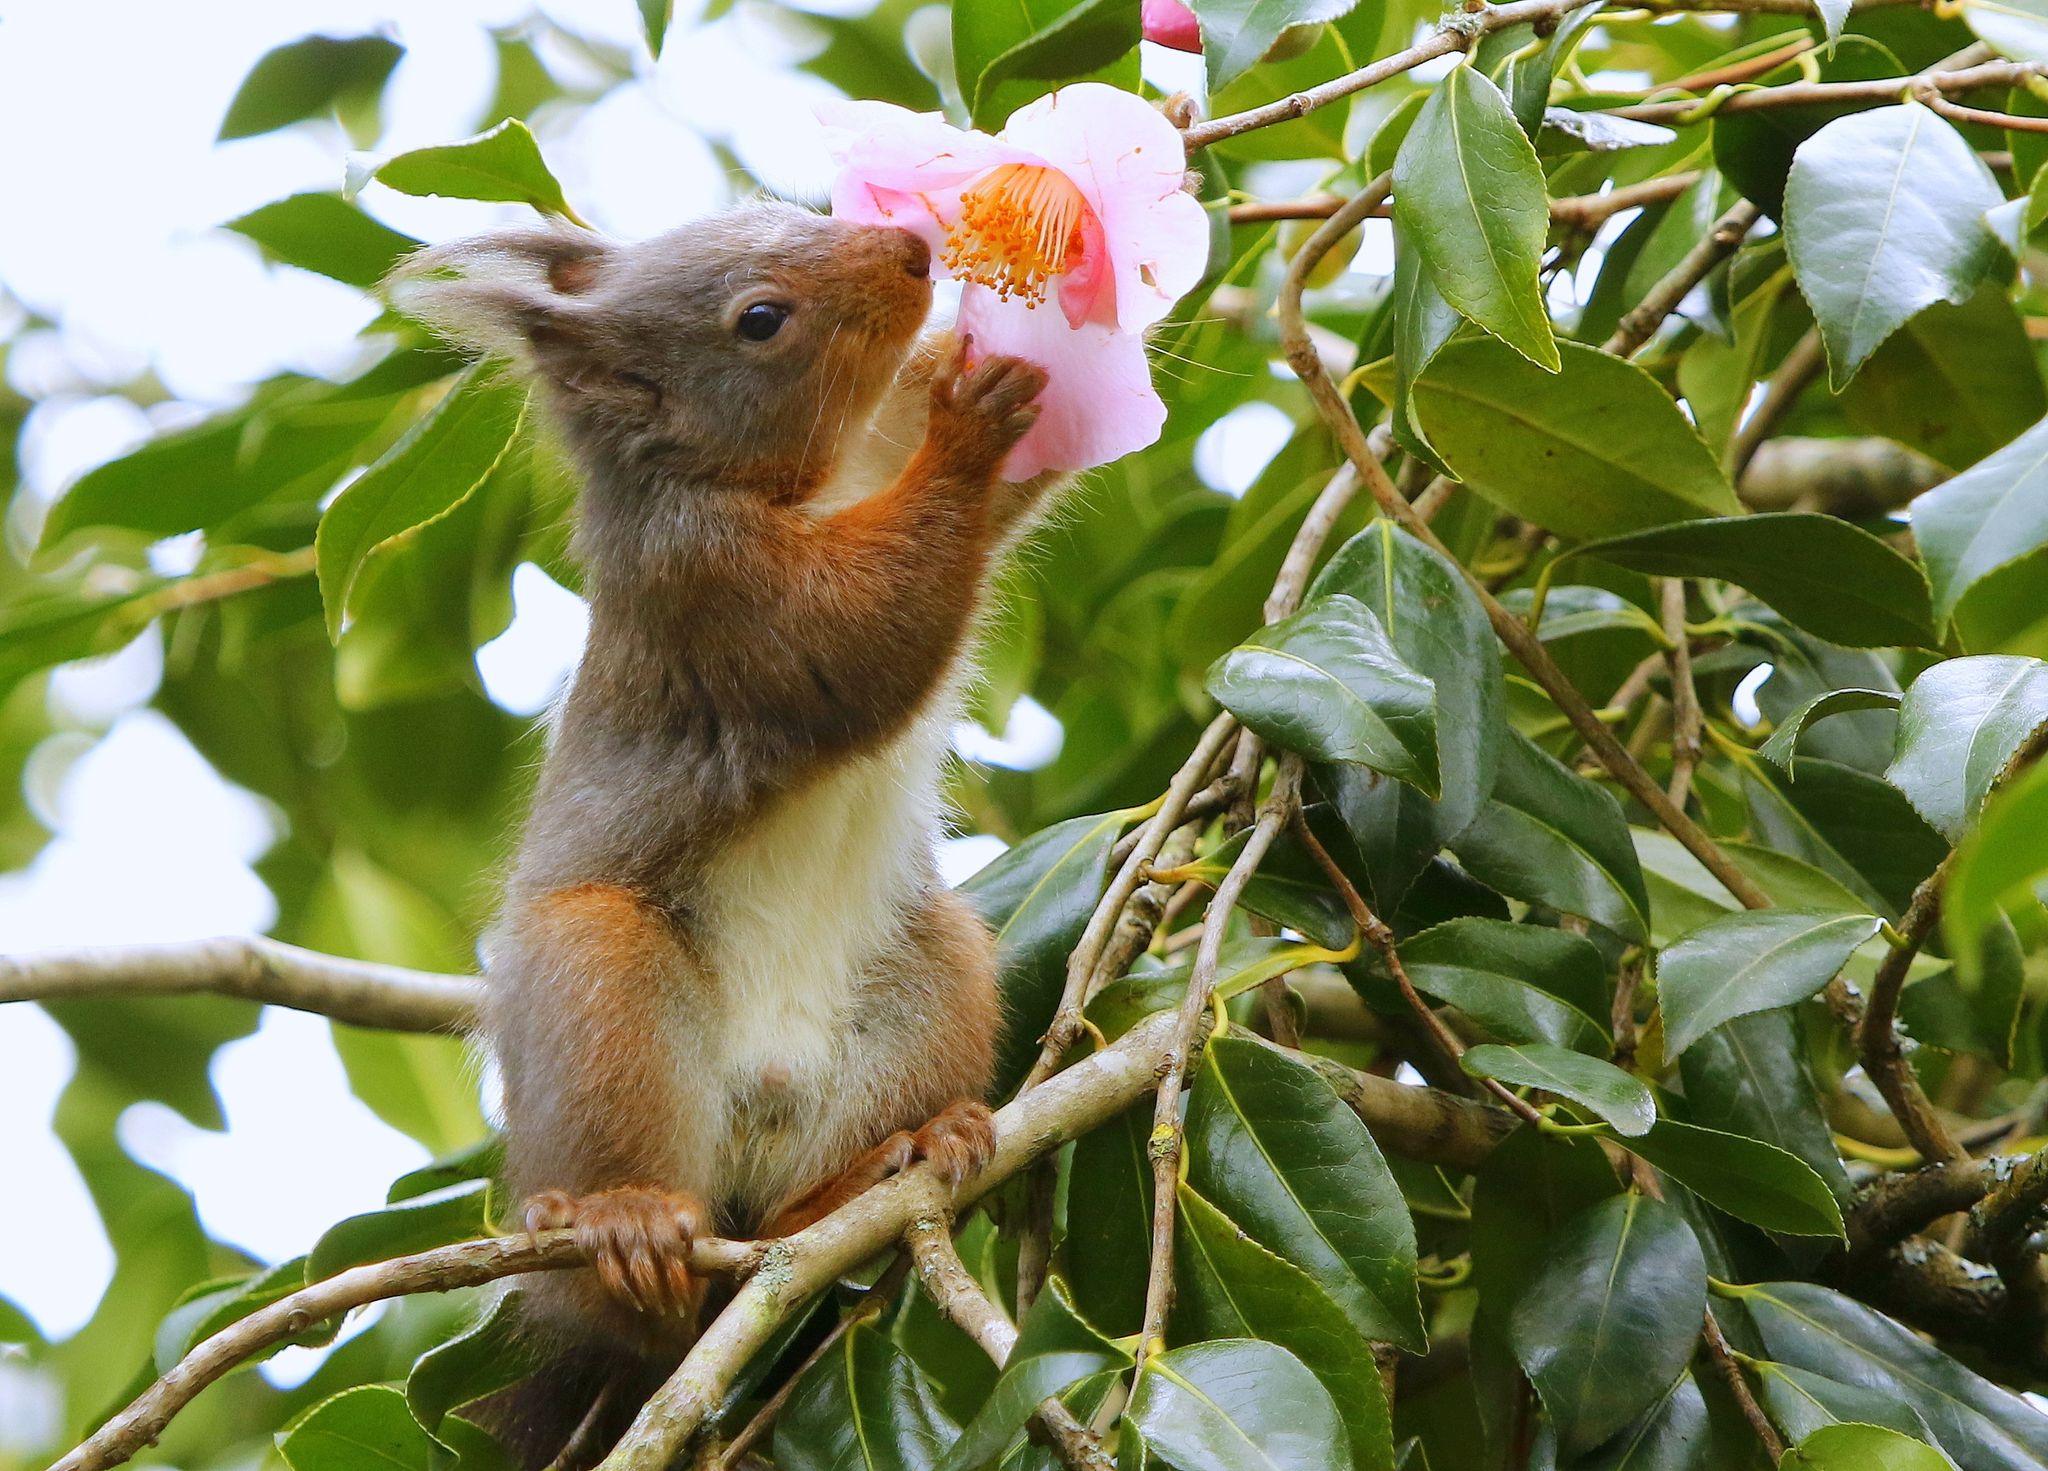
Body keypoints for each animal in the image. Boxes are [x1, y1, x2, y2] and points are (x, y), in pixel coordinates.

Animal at [390, 200, 1057, 1468]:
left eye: (792, 209)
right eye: (759, 320)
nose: (910, 250)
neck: (816, 479)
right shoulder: (709, 589)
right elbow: (859, 637)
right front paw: (970, 420)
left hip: (931, 971)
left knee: (775, 1238)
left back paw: (882, 1165)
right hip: (600, 989)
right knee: (643, 1275)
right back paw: (624, 1225)